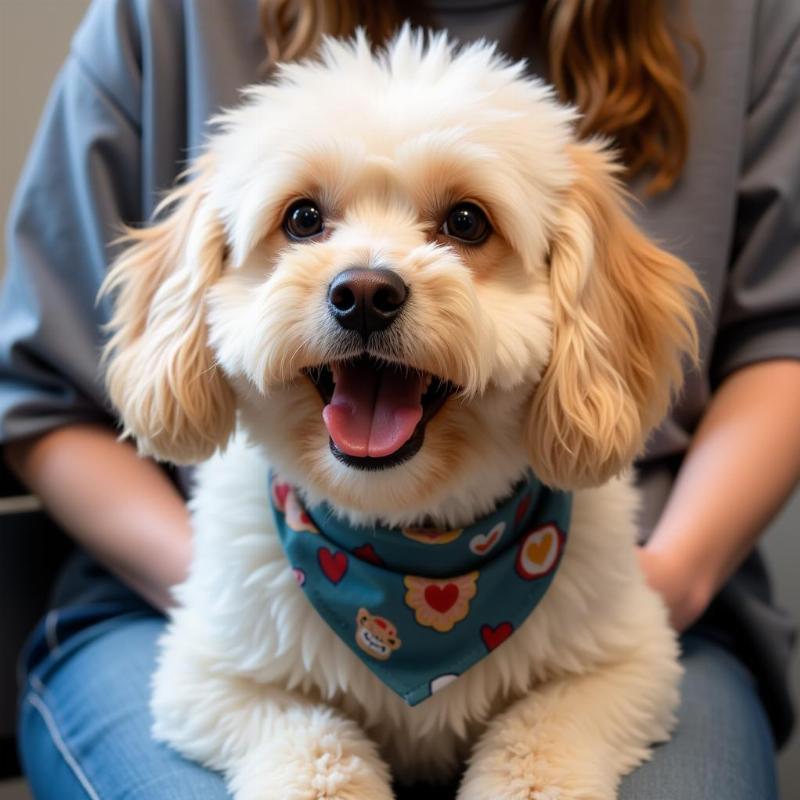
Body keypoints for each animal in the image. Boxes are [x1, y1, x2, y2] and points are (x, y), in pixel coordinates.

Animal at [104, 26, 700, 800]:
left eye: (467, 222)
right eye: (303, 218)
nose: (363, 293)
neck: (410, 546)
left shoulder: (631, 663)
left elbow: (539, 735)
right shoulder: (209, 676)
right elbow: (312, 740)